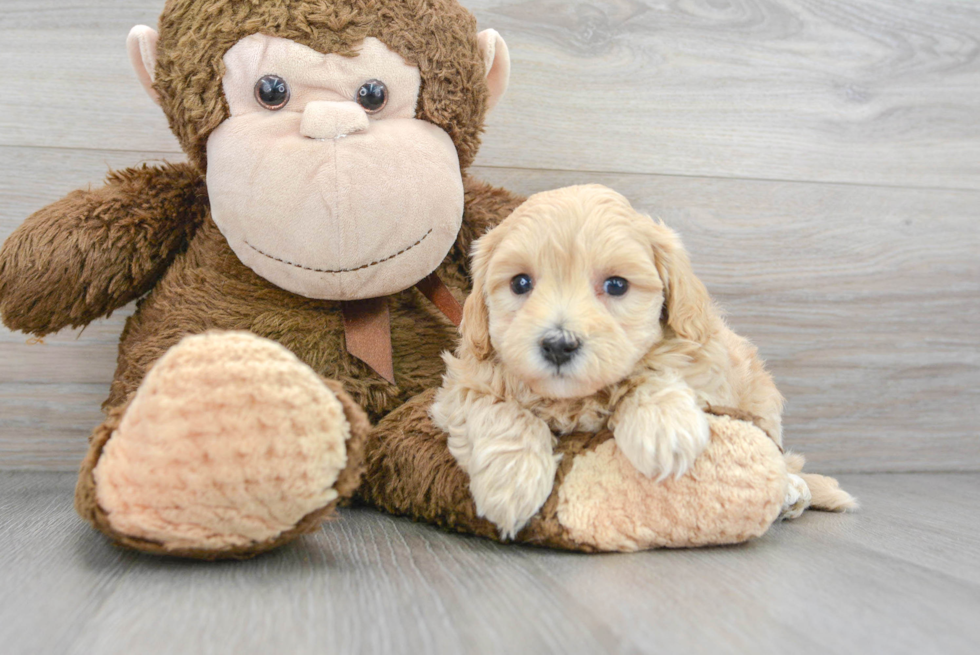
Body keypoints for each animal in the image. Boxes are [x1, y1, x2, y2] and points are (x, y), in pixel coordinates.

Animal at [432, 184, 784, 540]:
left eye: (616, 285)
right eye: (520, 283)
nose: (559, 345)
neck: (573, 400)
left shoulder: (703, 364)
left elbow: (653, 371)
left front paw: (664, 426)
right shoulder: (463, 383)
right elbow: (498, 408)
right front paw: (512, 479)